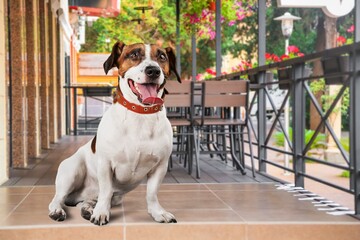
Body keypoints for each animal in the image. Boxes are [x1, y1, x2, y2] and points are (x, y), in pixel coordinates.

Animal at [48, 40, 180, 225]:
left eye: (162, 56)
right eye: (134, 54)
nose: (153, 70)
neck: (141, 114)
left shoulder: (160, 166)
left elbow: (152, 193)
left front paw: (158, 212)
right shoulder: (105, 164)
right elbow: (106, 190)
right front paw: (101, 213)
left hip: (108, 197)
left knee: (87, 200)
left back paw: (87, 209)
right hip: (71, 171)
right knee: (58, 197)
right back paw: (57, 210)